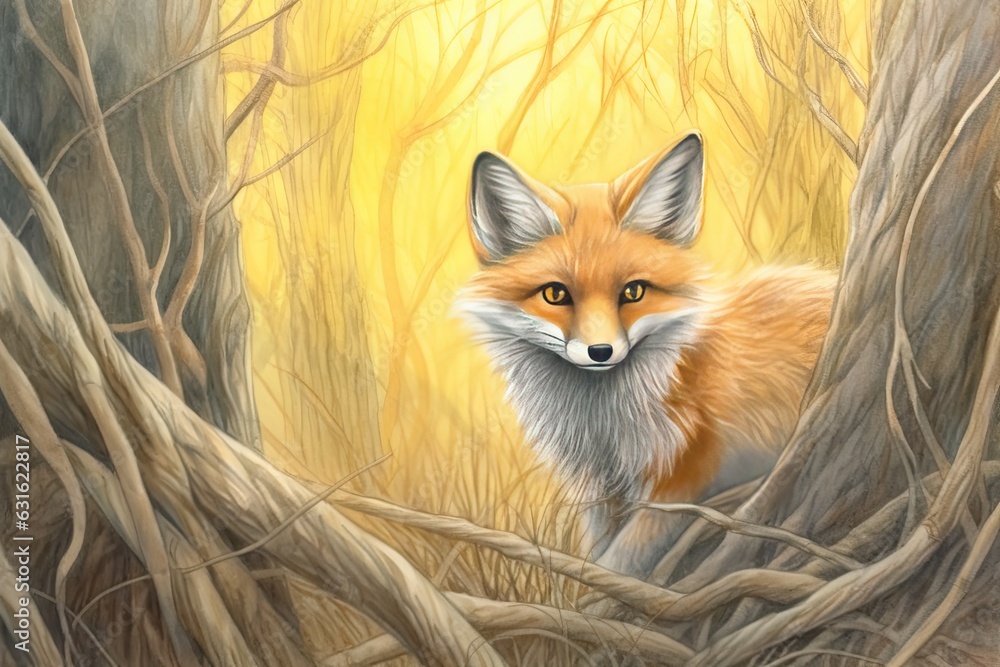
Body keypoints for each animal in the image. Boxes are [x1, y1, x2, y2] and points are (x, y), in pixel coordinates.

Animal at [455, 131, 834, 579]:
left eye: (633, 291)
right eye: (555, 294)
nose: (600, 351)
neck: (604, 427)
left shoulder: (685, 476)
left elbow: (620, 563)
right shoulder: (599, 486)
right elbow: (597, 554)